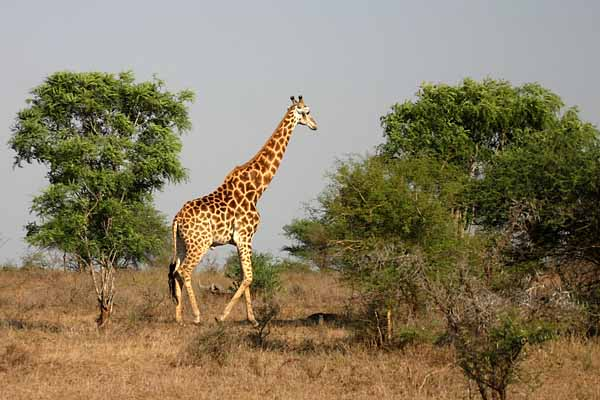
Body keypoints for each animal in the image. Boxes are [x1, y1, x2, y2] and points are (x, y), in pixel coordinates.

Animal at [168, 96, 316, 324]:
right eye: (306, 112)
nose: (315, 125)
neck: (257, 189)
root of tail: (177, 218)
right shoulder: (246, 236)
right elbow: (249, 276)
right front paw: (222, 316)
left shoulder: (239, 240)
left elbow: (246, 276)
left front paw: (252, 319)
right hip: (200, 243)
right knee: (184, 270)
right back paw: (197, 315)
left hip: (184, 243)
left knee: (175, 270)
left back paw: (178, 317)